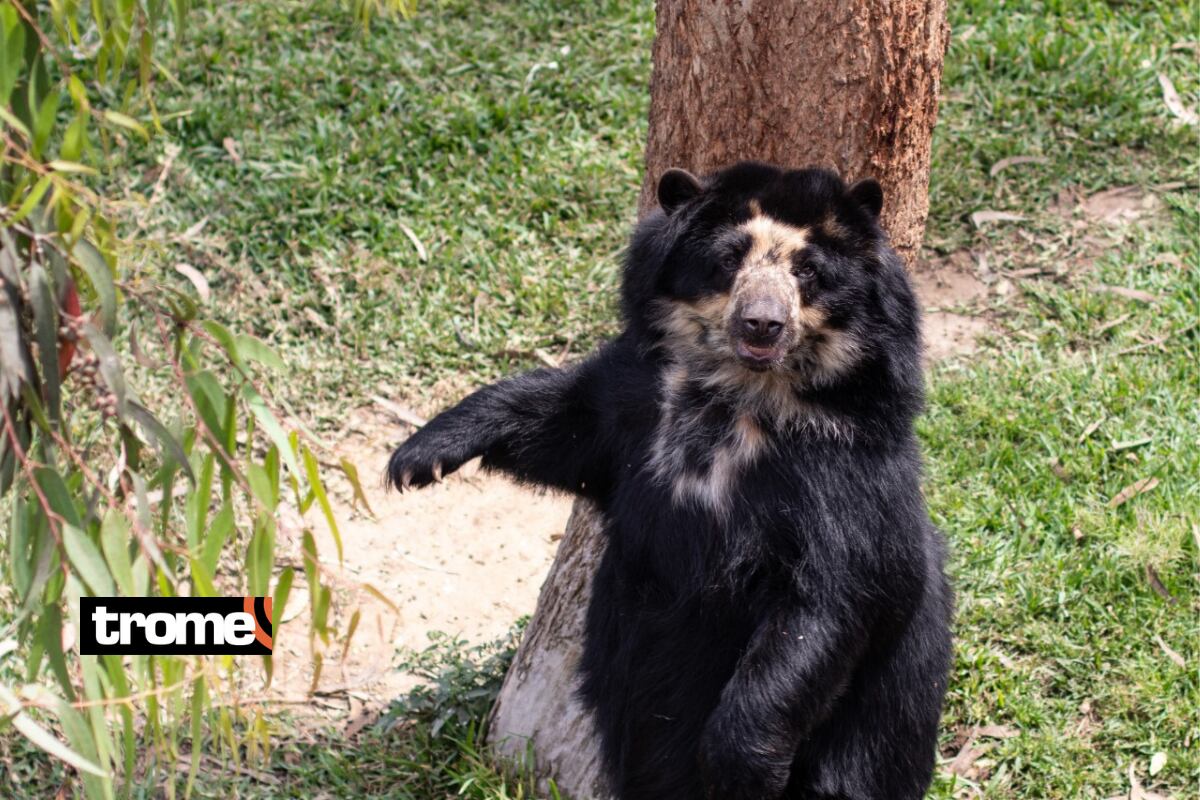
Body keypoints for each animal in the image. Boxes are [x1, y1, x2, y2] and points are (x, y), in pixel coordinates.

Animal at [387, 161, 953, 800]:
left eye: (808, 271)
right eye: (728, 259)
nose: (762, 324)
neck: (739, 399)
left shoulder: (848, 474)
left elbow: (829, 600)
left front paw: (743, 768)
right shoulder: (636, 400)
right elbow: (561, 422)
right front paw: (418, 458)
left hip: (880, 725)